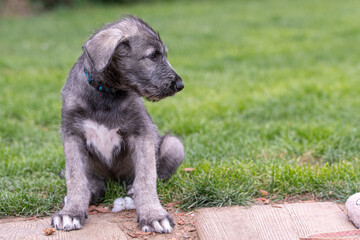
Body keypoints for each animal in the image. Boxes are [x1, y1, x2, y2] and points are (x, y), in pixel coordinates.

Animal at [50, 14, 184, 232]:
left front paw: (153, 214)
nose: (180, 85)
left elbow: (146, 178)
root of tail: (115, 181)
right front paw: (71, 212)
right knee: (92, 183)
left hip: (175, 145)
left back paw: (131, 192)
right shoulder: (72, 135)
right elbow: (75, 177)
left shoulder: (142, 133)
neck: (106, 93)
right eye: (153, 56)